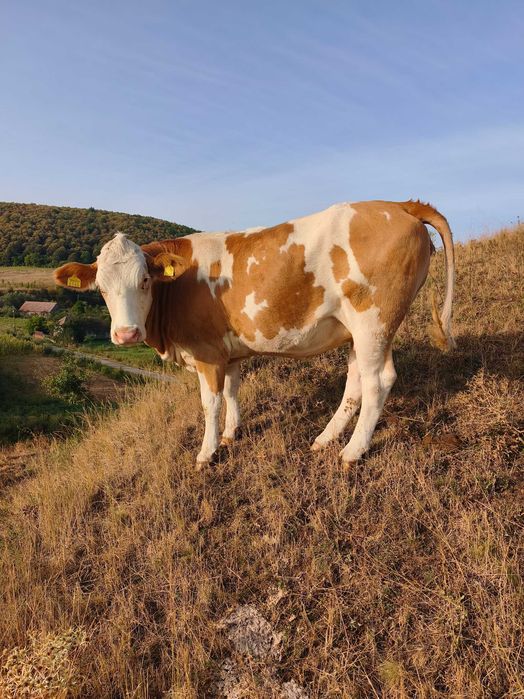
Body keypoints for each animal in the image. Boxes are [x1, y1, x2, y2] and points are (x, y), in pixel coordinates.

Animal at [55, 200, 455, 467]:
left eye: (144, 281)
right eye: (101, 289)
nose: (125, 335)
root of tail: (396, 204)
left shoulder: (207, 354)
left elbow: (211, 403)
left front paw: (207, 453)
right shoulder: (228, 352)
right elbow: (233, 392)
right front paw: (231, 434)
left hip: (374, 319)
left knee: (377, 381)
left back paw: (352, 452)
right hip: (356, 329)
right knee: (355, 382)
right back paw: (325, 439)